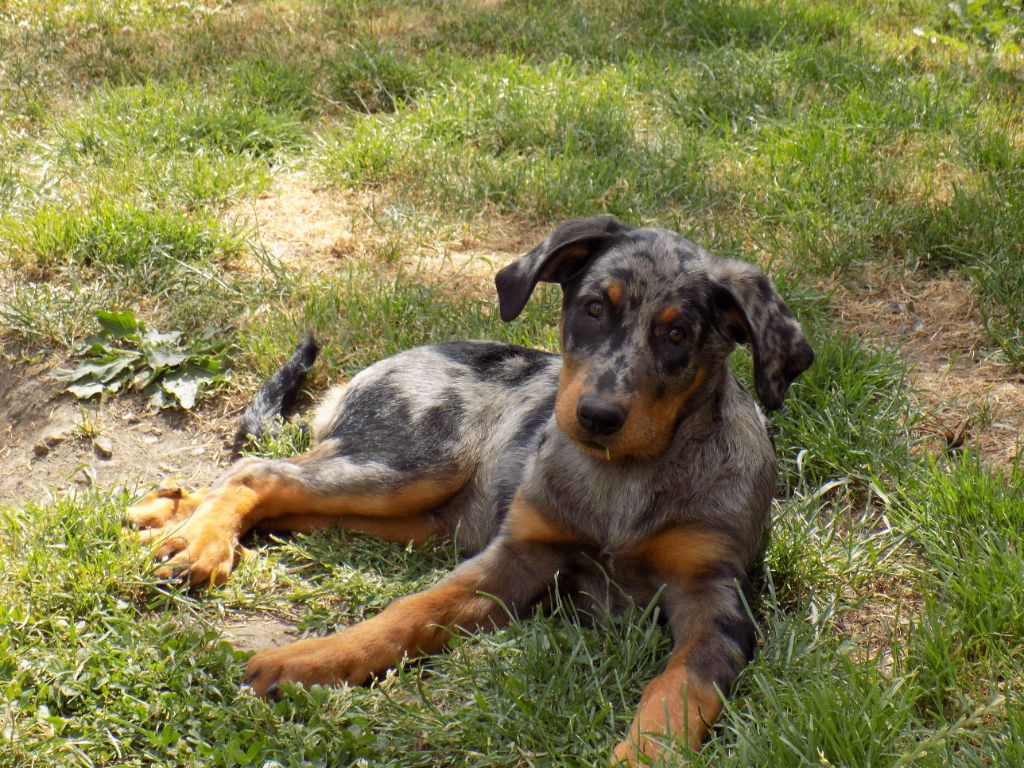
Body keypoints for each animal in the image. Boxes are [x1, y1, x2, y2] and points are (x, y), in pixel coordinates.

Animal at [125, 217, 815, 765]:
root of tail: (368, 372)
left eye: (678, 335)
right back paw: (196, 541)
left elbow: (677, 693)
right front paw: (312, 660)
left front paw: (643, 755)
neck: (624, 477)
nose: (596, 417)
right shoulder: (518, 554)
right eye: (593, 307)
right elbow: (410, 610)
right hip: (414, 462)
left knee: (283, 493)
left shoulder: (715, 603)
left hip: (417, 512)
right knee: (259, 471)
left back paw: (174, 512)